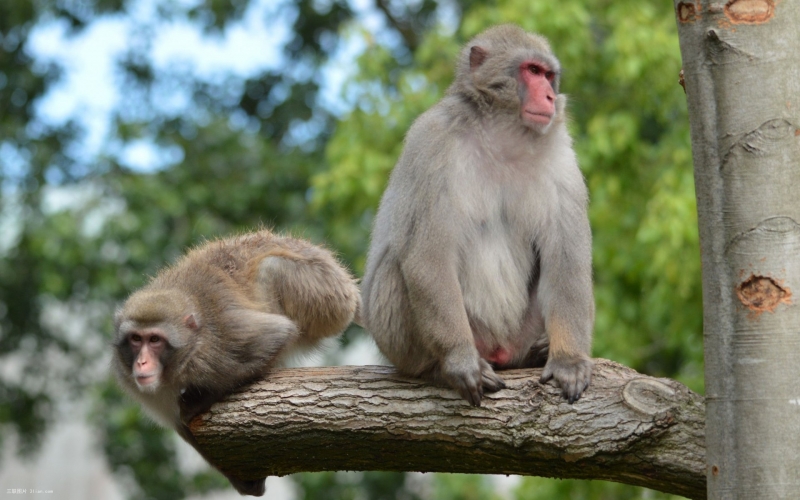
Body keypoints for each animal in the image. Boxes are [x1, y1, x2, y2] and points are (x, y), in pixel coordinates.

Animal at [112, 229, 360, 494]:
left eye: (155, 340)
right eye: (136, 339)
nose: (141, 363)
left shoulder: (218, 345)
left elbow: (276, 335)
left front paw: (197, 401)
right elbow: (183, 427)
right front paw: (247, 482)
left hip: (325, 298)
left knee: (272, 267)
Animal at [362, 24, 592, 406]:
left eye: (548, 75)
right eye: (531, 70)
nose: (548, 96)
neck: (502, 136)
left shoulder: (562, 158)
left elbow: (567, 259)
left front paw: (570, 360)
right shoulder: (432, 143)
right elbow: (427, 257)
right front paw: (459, 360)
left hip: (519, 333)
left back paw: (537, 351)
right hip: (396, 336)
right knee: (399, 263)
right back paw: (438, 367)